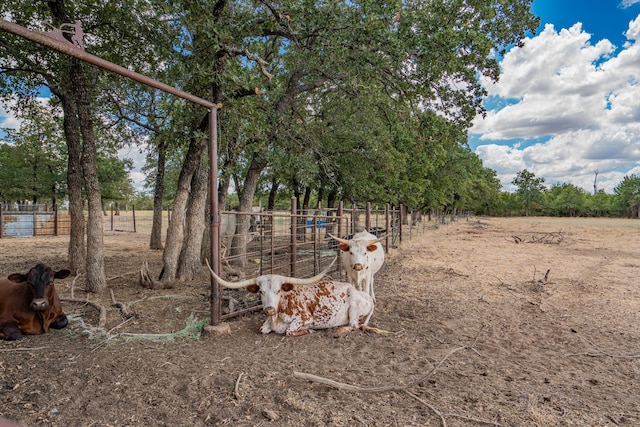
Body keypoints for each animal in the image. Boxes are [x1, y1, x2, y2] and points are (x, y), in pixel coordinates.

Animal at [205, 260, 376, 338]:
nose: (269, 309)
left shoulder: (305, 318)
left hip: (353, 308)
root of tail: (366, 296)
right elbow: (262, 329)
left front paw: (309, 330)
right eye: (261, 292)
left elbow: (288, 331)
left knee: (354, 325)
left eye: (278, 290)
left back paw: (339, 330)